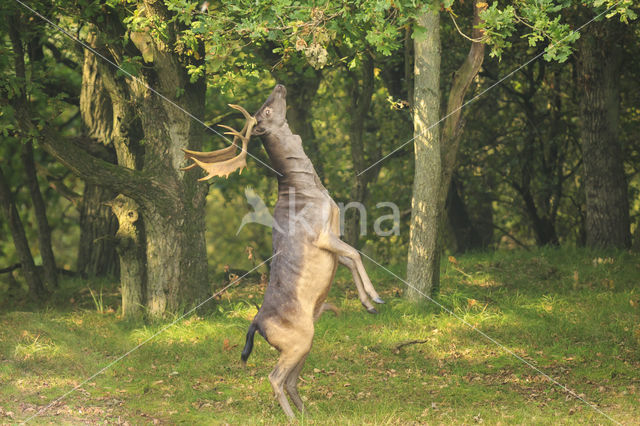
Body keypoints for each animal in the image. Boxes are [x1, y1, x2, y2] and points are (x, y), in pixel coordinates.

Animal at [182, 85, 382, 418]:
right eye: (265, 111)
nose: (278, 86)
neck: (310, 188)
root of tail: (256, 325)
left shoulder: (331, 239)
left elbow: (350, 259)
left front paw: (368, 304)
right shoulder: (321, 234)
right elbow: (356, 254)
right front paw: (376, 298)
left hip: (304, 340)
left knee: (290, 379)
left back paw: (307, 414)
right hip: (297, 339)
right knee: (274, 377)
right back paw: (292, 416)